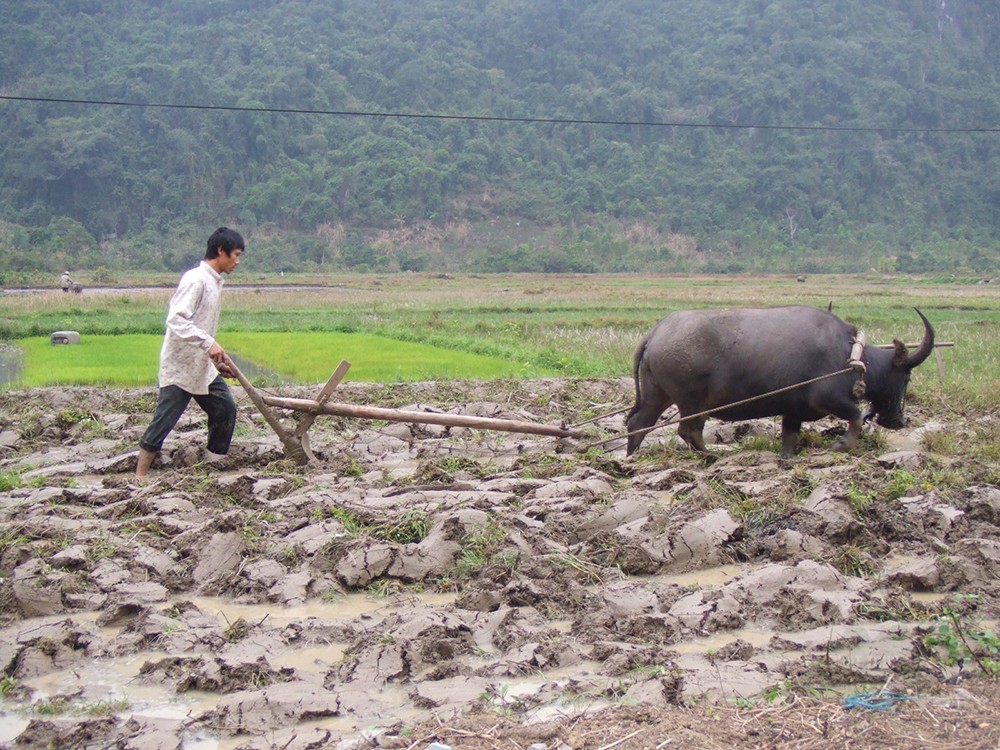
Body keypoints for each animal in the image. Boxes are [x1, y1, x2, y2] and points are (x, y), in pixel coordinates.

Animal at [628, 306, 932, 458]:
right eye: (906, 376)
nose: (898, 421)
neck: (850, 355)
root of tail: (656, 333)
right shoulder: (828, 399)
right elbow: (856, 417)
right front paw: (842, 445)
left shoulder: (792, 411)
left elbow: (789, 437)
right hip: (692, 402)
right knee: (688, 431)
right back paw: (712, 455)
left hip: (657, 395)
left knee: (638, 423)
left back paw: (631, 456)